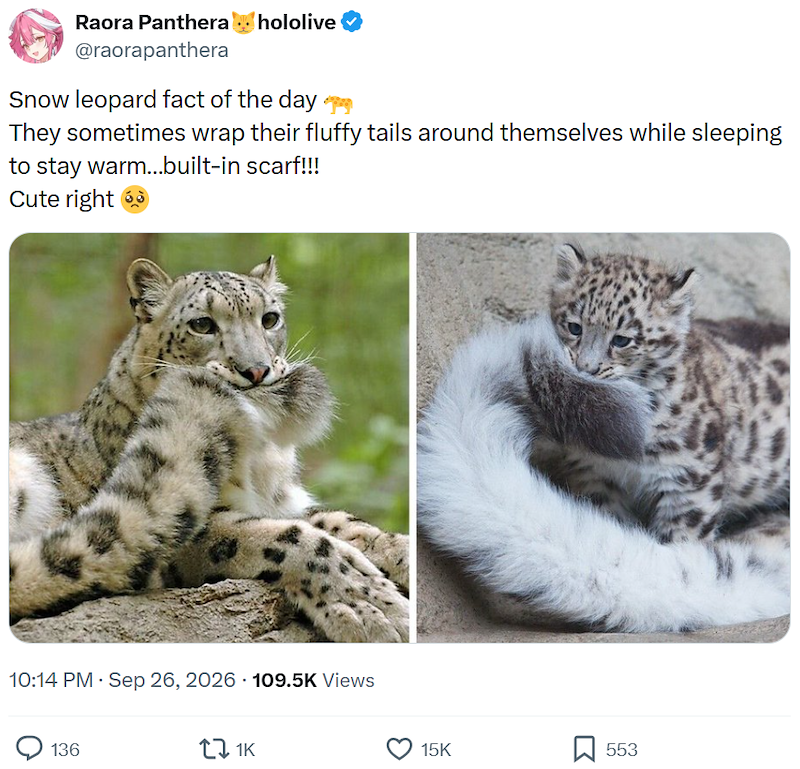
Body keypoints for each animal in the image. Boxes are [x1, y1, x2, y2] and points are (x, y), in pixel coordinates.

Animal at [9, 257, 409, 643]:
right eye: (202, 324)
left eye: (269, 319)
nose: (256, 370)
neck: (261, 459)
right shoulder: (199, 534)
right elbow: (284, 537)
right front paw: (370, 607)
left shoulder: (284, 502)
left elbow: (342, 521)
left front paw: (399, 551)